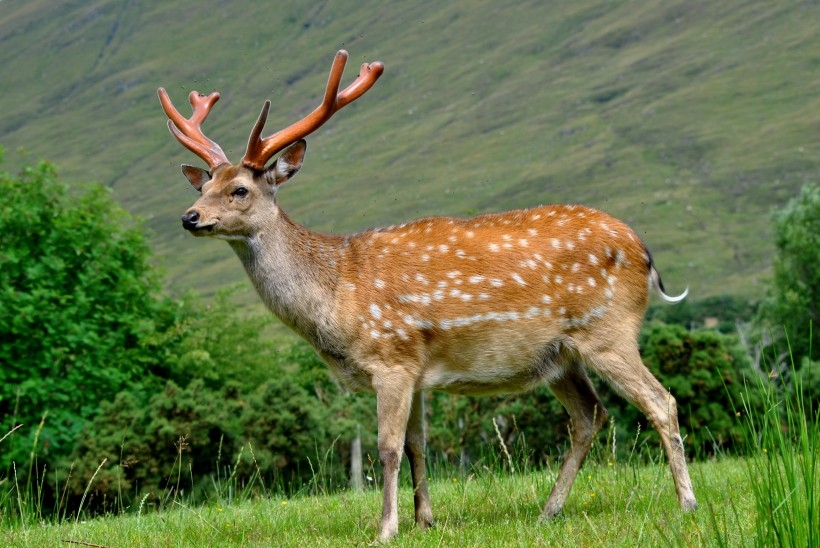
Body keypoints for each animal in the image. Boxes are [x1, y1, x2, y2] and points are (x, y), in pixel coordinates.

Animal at [159, 50, 700, 540]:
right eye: (204, 184)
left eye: (241, 190)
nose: (189, 217)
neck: (335, 297)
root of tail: (644, 252)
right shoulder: (416, 369)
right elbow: (418, 445)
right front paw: (425, 520)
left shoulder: (392, 356)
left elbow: (388, 448)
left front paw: (386, 528)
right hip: (560, 356)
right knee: (589, 416)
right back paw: (549, 511)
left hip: (608, 330)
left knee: (661, 401)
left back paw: (686, 504)